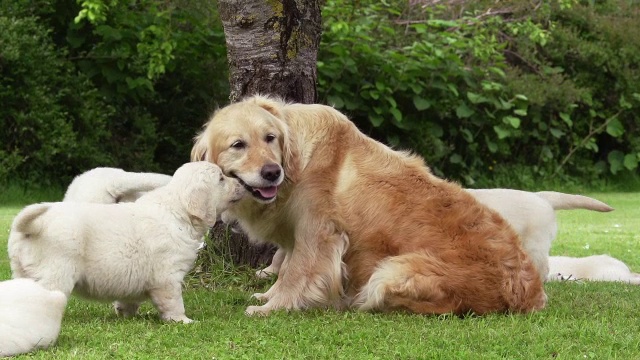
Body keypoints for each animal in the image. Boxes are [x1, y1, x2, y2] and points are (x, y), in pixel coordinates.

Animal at [7, 162, 245, 324]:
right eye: (221, 179)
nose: (242, 183)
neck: (179, 211)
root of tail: (30, 227)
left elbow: (130, 299)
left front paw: (124, 313)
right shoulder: (167, 277)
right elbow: (174, 302)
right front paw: (183, 321)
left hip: (22, 271)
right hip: (56, 274)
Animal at [190, 95, 544, 316]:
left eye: (270, 138)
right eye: (238, 145)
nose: (271, 172)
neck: (297, 163)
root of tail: (532, 292)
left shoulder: (318, 233)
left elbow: (296, 272)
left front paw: (272, 307)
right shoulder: (299, 233)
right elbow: (286, 266)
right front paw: (268, 295)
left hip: (391, 272)